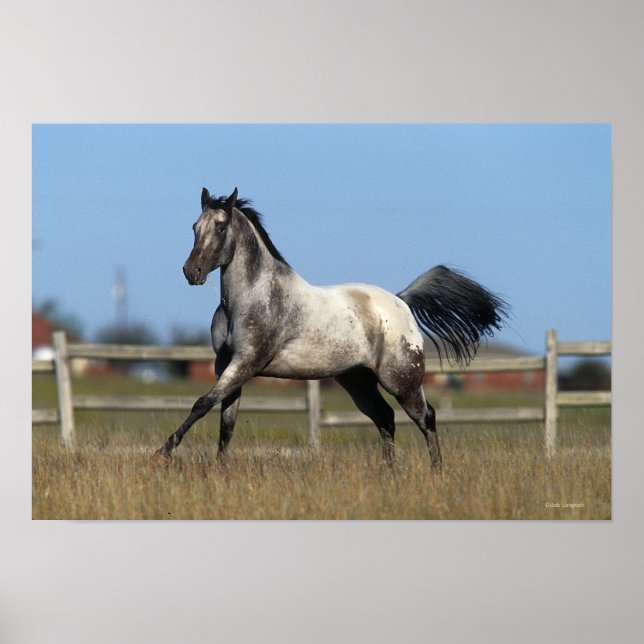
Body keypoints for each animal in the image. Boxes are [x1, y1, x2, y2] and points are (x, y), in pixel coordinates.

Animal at [155, 187, 508, 469]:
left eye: (221, 225)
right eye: (194, 226)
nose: (191, 271)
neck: (251, 298)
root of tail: (401, 301)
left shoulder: (246, 362)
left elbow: (202, 404)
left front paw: (163, 453)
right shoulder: (226, 365)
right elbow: (226, 422)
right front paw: (219, 470)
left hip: (402, 381)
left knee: (426, 418)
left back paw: (437, 472)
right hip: (358, 381)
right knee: (385, 419)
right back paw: (388, 473)